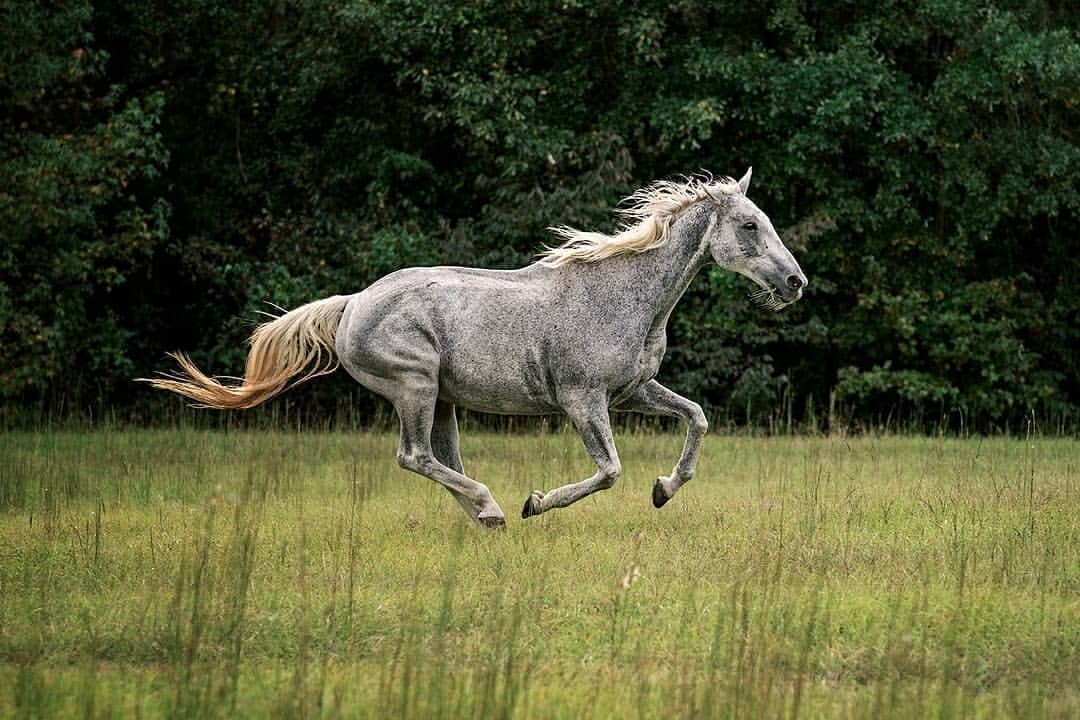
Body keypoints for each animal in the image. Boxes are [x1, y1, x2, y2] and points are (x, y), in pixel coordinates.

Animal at [142, 168, 807, 528]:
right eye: (749, 225)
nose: (796, 281)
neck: (622, 297)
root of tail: (353, 302)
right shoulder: (584, 401)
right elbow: (610, 470)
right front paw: (537, 502)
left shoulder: (633, 391)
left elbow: (697, 418)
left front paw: (665, 489)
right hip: (416, 387)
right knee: (414, 456)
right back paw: (494, 507)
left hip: (443, 400)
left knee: (441, 459)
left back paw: (485, 516)